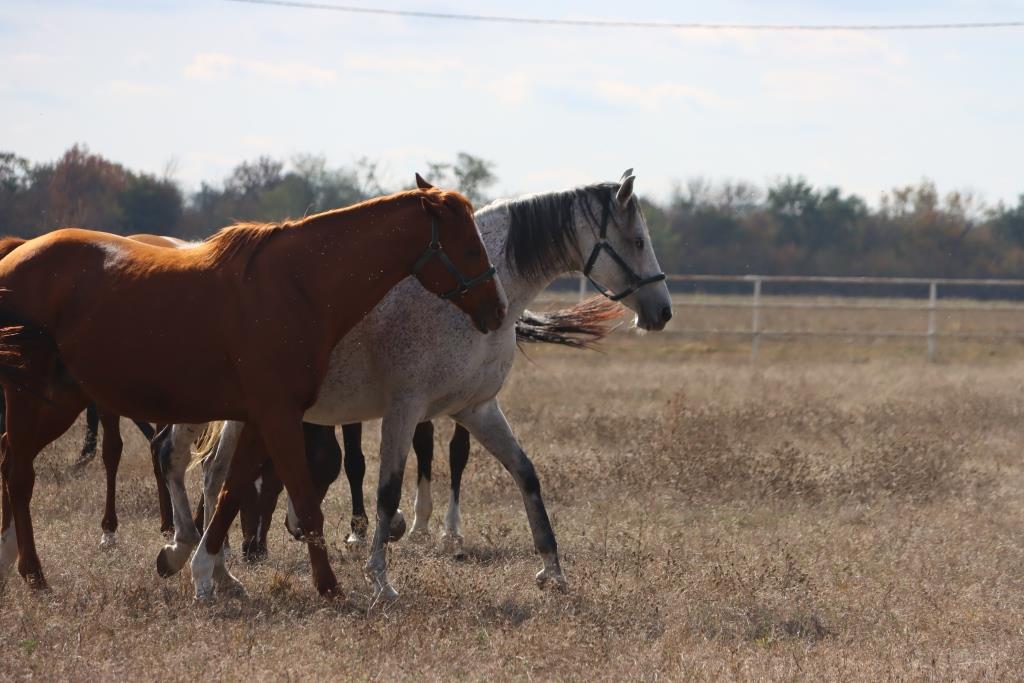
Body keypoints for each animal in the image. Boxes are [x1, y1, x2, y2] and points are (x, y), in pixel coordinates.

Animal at [0, 178, 505, 598]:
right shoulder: (278, 417)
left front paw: (208, 572)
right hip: (34, 399)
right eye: (470, 247)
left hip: (57, 401)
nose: (497, 309)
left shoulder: (257, 420)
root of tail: (14, 258)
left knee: (12, 463)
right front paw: (329, 587)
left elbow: (230, 493)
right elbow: (302, 500)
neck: (298, 285)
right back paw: (34, 574)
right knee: (20, 473)